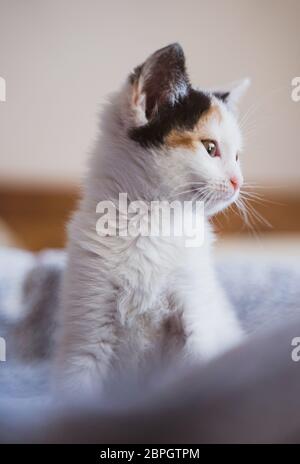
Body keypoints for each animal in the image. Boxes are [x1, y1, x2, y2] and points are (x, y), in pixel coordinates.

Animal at [55, 43, 250, 394]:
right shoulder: (88, 322)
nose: (237, 182)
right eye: (210, 147)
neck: (152, 223)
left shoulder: (196, 306)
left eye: (237, 157)